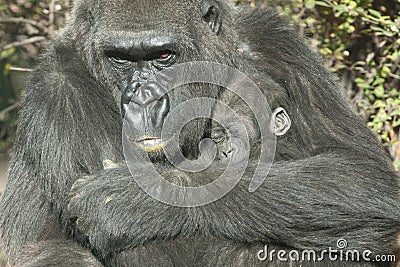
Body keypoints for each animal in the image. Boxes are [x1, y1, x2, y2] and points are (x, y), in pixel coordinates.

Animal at [0, 0, 400, 266]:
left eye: (164, 56)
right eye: (120, 58)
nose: (143, 99)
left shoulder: (277, 40)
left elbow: (362, 172)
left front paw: (133, 202)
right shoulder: (58, 90)